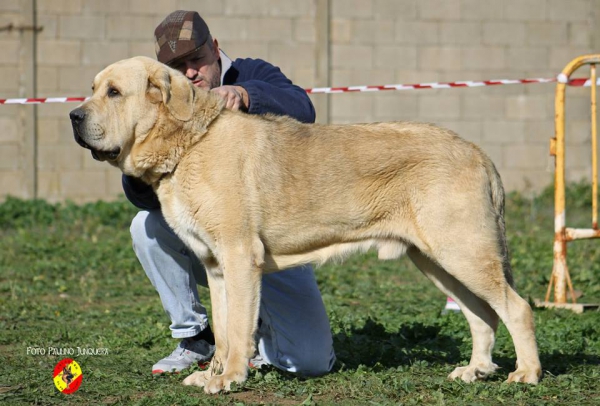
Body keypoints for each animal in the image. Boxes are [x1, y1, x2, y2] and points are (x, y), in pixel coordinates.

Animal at [68, 56, 540, 394]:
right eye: (91, 89)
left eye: (113, 92)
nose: (73, 117)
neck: (188, 145)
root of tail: (478, 152)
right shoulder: (216, 266)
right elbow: (223, 327)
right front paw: (212, 372)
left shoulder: (239, 257)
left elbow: (237, 328)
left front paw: (229, 378)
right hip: (436, 260)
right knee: (481, 314)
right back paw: (476, 370)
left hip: (462, 250)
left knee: (515, 308)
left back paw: (526, 374)